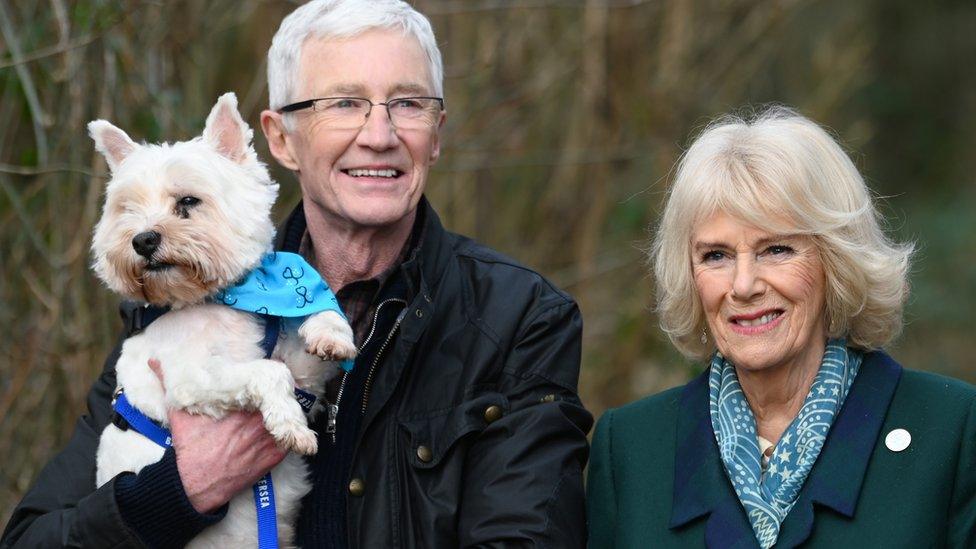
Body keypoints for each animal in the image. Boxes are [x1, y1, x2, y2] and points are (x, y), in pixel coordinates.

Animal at [87, 92, 354, 544]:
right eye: (128, 209)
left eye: (187, 202)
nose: (142, 240)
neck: (224, 298)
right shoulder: (190, 381)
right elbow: (267, 372)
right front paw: (292, 427)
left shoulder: (305, 373)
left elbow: (312, 321)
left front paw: (331, 333)